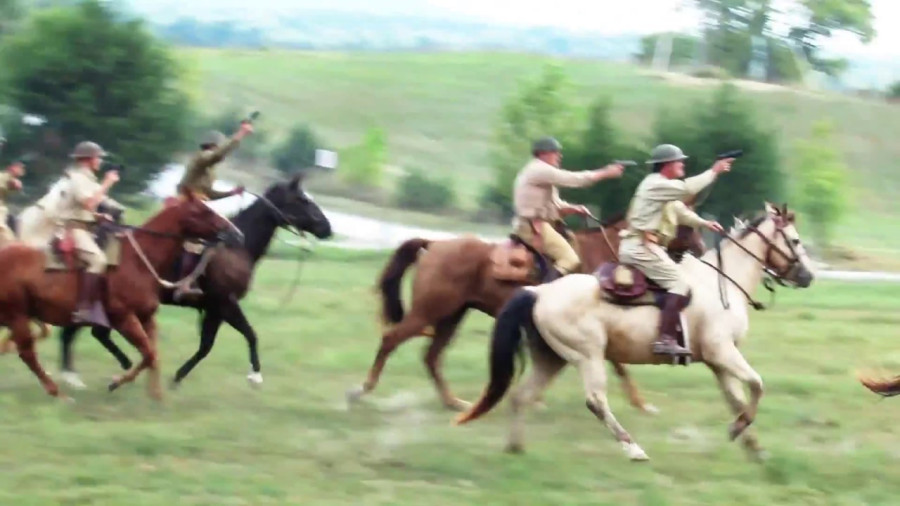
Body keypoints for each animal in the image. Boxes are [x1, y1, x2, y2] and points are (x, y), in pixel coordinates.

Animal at [0, 193, 243, 399]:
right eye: (204, 211)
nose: (237, 234)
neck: (137, 261)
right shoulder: (124, 318)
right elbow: (148, 354)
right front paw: (116, 382)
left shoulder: (147, 317)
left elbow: (153, 355)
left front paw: (155, 394)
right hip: (18, 316)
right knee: (28, 353)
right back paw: (57, 393)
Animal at [49, 173, 334, 389]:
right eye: (303, 200)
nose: (327, 228)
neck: (237, 248)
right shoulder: (225, 304)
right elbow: (247, 335)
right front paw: (255, 376)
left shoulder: (213, 309)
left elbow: (207, 345)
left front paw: (176, 376)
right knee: (80, 332)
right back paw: (79, 374)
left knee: (85, 332)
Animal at [348, 213, 707, 411]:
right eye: (687, 224)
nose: (701, 249)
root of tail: (434, 244)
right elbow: (619, 366)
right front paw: (641, 403)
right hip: (429, 311)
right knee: (392, 339)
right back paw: (361, 390)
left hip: (452, 315)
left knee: (432, 356)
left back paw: (453, 402)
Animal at [455, 203, 815, 462]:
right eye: (796, 240)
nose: (808, 276)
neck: (721, 284)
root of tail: (539, 291)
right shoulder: (722, 352)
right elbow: (757, 386)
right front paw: (740, 431)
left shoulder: (718, 362)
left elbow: (737, 399)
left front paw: (751, 443)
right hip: (588, 356)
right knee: (595, 401)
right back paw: (633, 448)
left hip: (551, 359)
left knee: (521, 396)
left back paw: (516, 447)